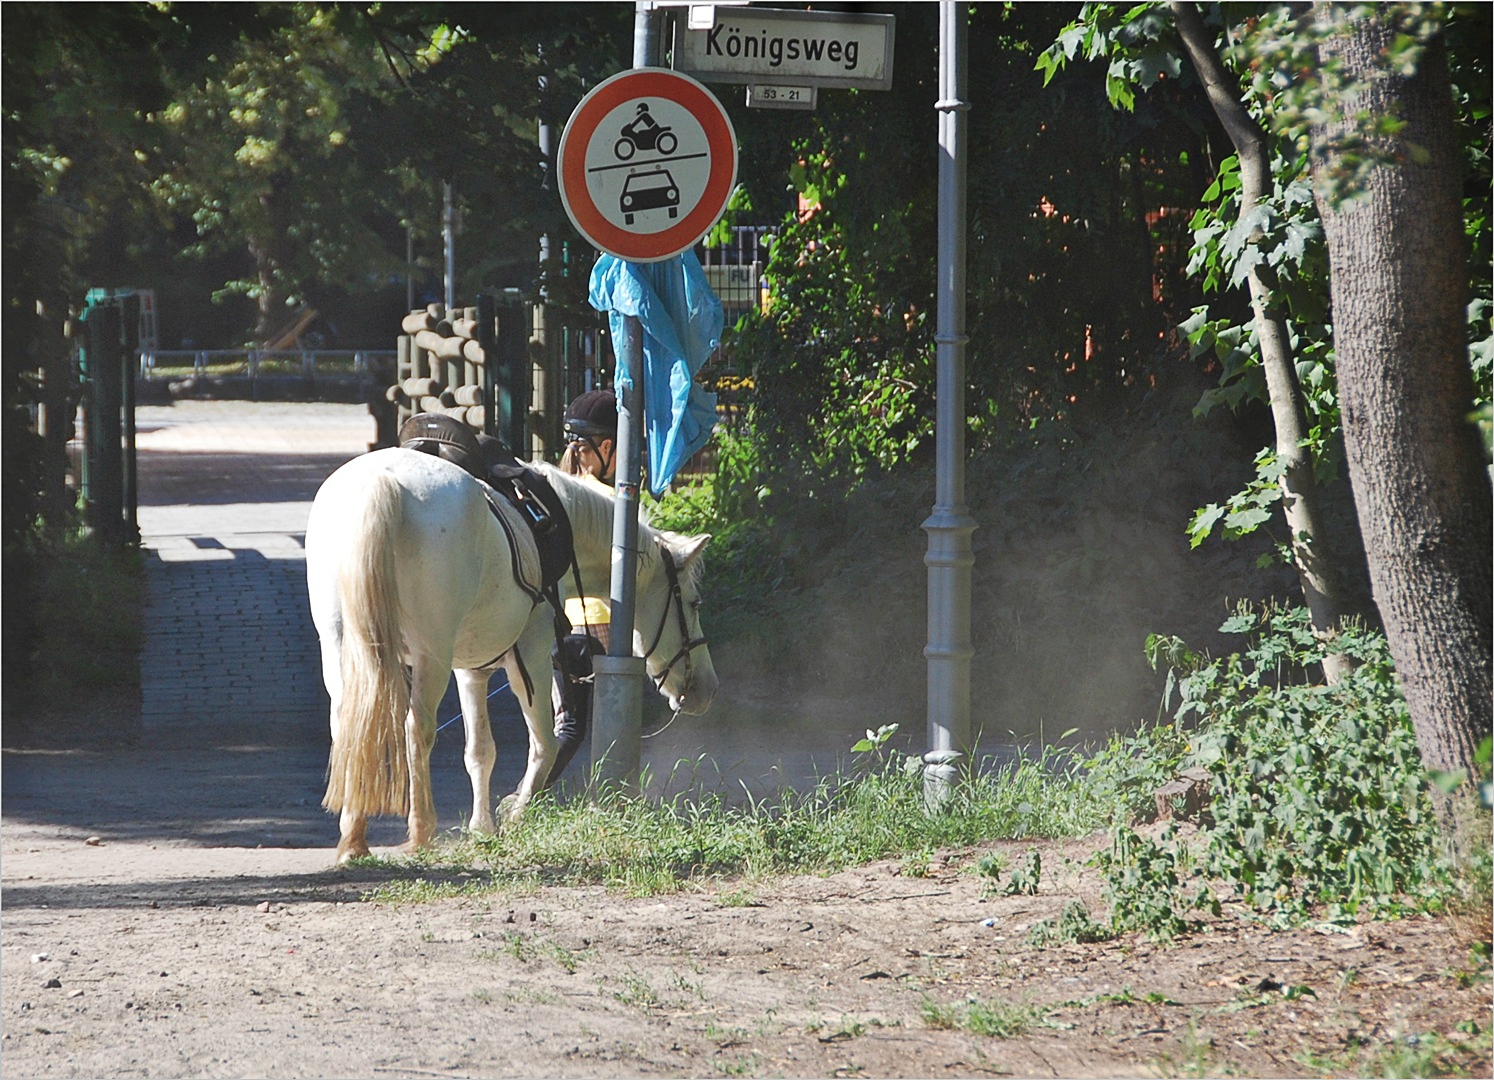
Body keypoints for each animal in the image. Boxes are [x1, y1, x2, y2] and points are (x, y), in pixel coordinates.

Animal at [306, 445, 714, 860]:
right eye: (694, 603)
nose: (705, 691)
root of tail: (381, 480)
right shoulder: (531, 656)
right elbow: (544, 743)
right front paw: (517, 811)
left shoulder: (471, 670)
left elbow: (480, 751)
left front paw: (482, 825)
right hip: (429, 653)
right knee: (416, 728)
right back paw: (421, 831)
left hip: (342, 647)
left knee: (349, 724)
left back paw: (353, 838)